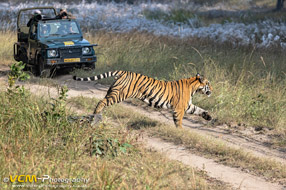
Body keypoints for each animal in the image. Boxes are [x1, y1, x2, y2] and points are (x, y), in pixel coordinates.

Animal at [73, 70, 212, 128]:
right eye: (208, 83)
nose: (212, 89)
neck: (194, 87)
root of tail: (122, 72)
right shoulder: (179, 108)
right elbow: (179, 122)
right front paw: (180, 131)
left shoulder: (187, 106)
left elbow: (199, 110)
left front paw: (209, 117)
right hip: (118, 95)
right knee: (101, 101)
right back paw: (96, 114)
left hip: (112, 91)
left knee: (103, 100)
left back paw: (97, 114)